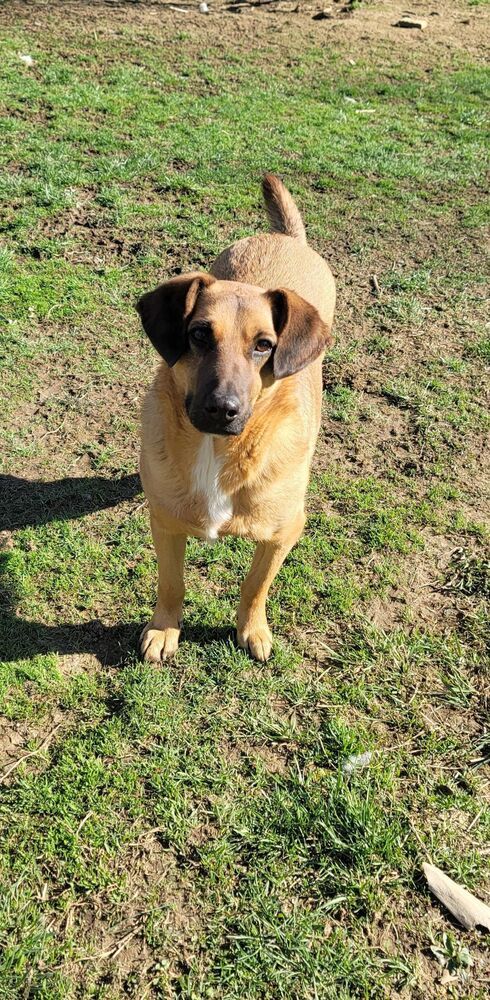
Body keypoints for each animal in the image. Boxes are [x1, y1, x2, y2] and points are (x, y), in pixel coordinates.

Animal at [138, 175, 336, 660]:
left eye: (264, 345)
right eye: (198, 335)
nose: (222, 409)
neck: (218, 451)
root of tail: (287, 239)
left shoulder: (283, 533)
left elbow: (255, 585)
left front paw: (253, 629)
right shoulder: (164, 523)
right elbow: (171, 584)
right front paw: (165, 629)